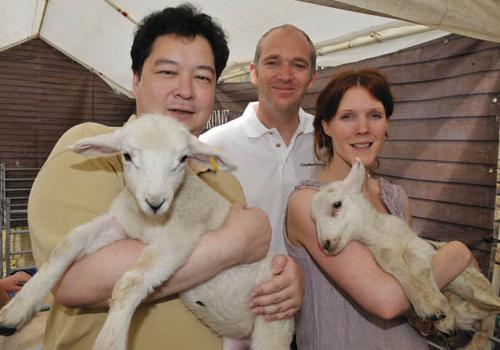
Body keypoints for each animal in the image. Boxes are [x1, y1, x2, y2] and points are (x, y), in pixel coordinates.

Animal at [0, 115, 292, 350]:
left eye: (182, 159)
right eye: (127, 156)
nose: (155, 201)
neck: (151, 221)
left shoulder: (180, 235)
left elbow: (131, 280)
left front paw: (110, 340)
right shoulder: (120, 223)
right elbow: (67, 244)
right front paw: (15, 310)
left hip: (273, 325)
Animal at [310, 160, 500, 350]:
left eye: (337, 204)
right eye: (313, 220)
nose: (325, 244)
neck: (380, 235)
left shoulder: (419, 244)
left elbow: (414, 260)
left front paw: (432, 303)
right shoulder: (384, 253)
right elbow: (396, 267)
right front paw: (430, 308)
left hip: (478, 287)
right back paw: (447, 324)